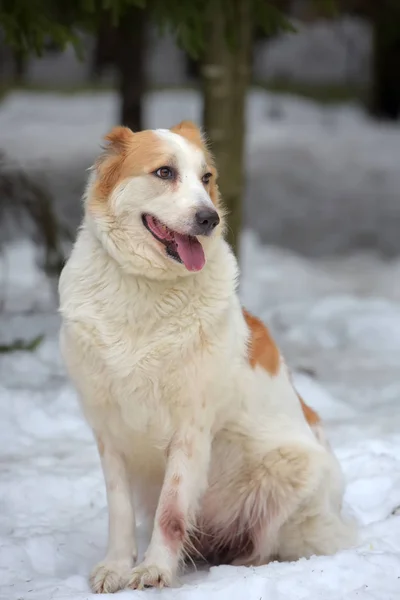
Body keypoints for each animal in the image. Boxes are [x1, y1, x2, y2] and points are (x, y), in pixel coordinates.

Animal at [57, 119, 354, 592]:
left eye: (206, 177)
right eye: (164, 172)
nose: (209, 219)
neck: (144, 288)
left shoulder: (189, 430)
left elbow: (172, 511)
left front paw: (155, 569)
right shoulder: (108, 428)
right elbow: (119, 510)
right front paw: (116, 567)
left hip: (291, 470)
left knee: (264, 544)